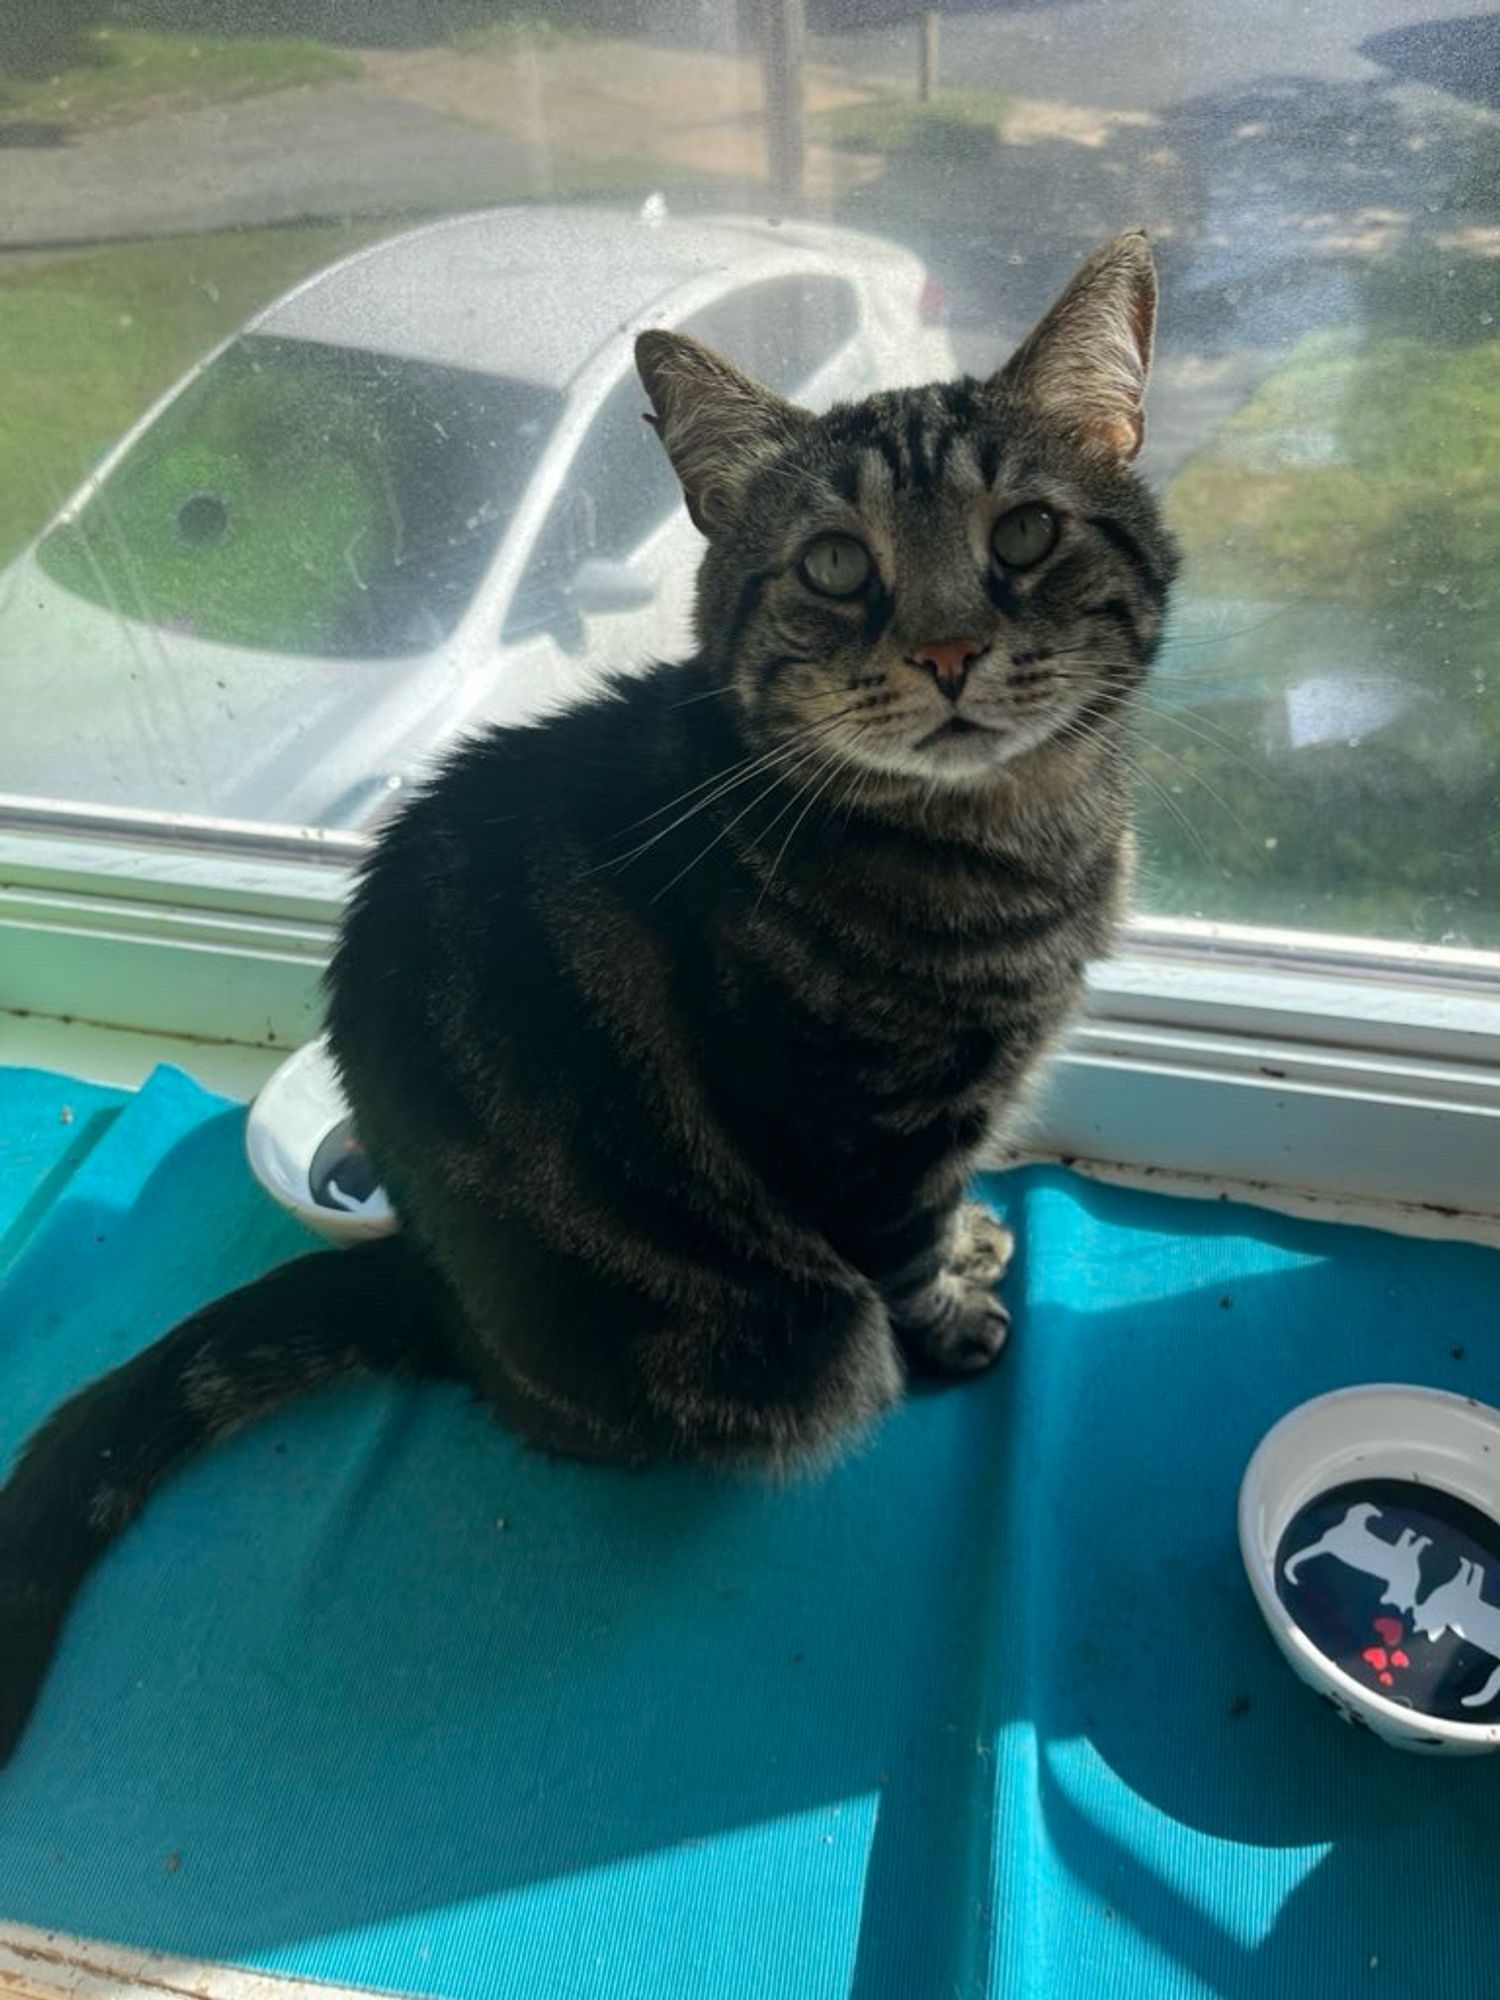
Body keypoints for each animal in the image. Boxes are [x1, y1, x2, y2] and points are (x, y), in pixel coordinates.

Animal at [0, 234, 1176, 1760]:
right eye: (836, 564)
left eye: (1025, 535)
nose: (946, 650)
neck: (1019, 833)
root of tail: (440, 1304)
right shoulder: (856, 1130)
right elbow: (903, 1246)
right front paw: (957, 1323)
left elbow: (953, 1201)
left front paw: (982, 1234)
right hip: (767, 1337)